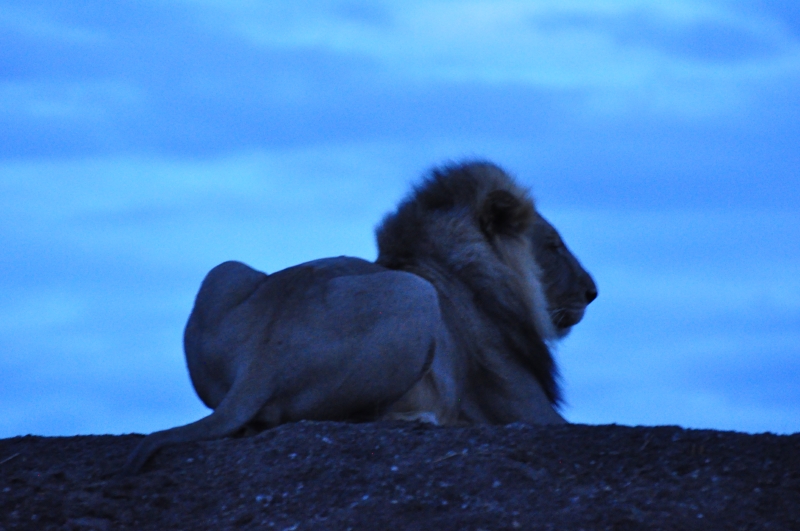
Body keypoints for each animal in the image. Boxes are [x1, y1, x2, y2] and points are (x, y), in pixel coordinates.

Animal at [124, 161, 596, 473]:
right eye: (554, 245)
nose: (593, 292)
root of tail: (256, 363)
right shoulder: (524, 402)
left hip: (224, 271)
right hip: (416, 296)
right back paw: (422, 419)